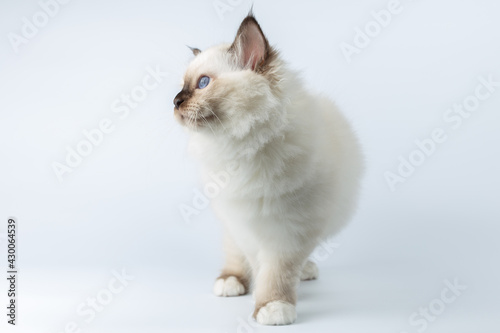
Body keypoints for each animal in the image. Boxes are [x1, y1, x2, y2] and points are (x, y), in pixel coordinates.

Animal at [173, 12, 364, 324]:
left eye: (203, 83)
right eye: (182, 86)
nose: (175, 101)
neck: (243, 147)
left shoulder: (290, 229)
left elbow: (277, 272)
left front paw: (273, 306)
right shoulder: (243, 221)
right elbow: (259, 265)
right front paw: (262, 298)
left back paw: (303, 273)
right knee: (234, 252)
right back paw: (231, 281)